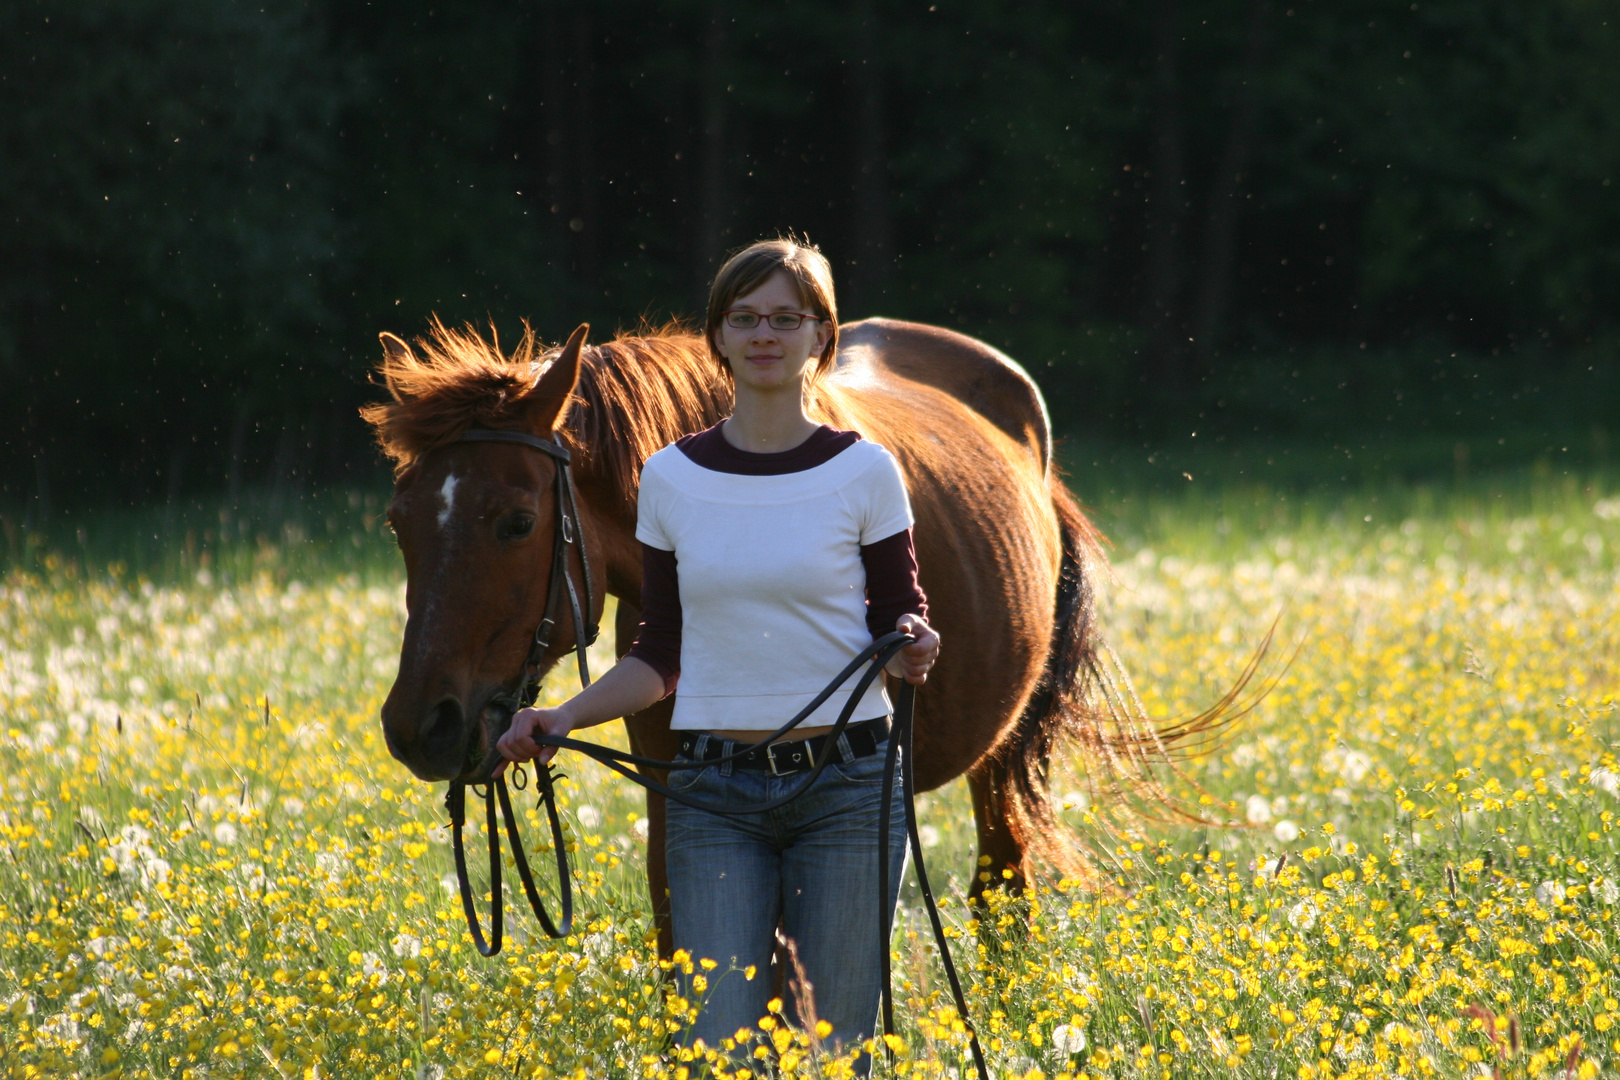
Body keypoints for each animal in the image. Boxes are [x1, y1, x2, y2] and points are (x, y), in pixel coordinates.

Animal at [370, 317, 1250, 952]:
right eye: (398, 522)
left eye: (517, 522)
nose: (419, 726)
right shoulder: (681, 797)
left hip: (999, 754)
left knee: (1001, 892)